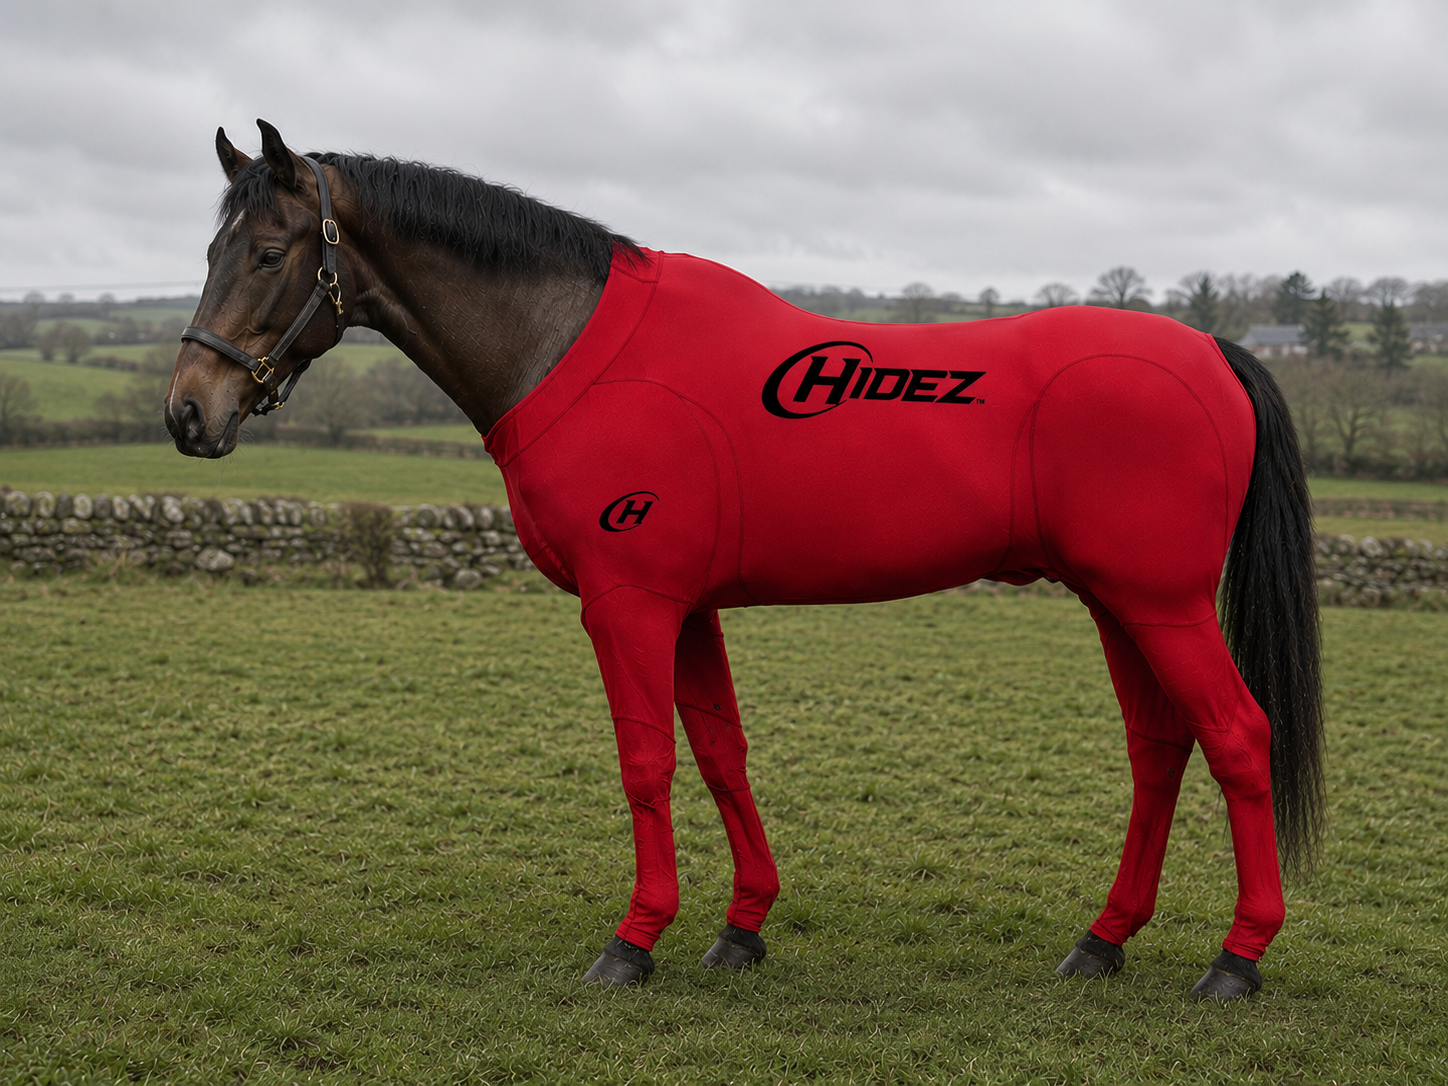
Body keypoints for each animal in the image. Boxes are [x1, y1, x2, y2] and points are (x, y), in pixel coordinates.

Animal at [167, 120, 1324, 1001]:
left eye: (266, 254)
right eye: (211, 253)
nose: (188, 412)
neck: (570, 343)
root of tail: (1210, 350)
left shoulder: (628, 601)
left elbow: (646, 762)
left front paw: (632, 942)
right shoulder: (689, 606)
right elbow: (722, 753)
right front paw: (741, 927)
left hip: (1162, 602)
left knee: (1236, 736)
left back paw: (1237, 958)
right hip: (1118, 602)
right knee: (1159, 751)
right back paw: (1101, 941)